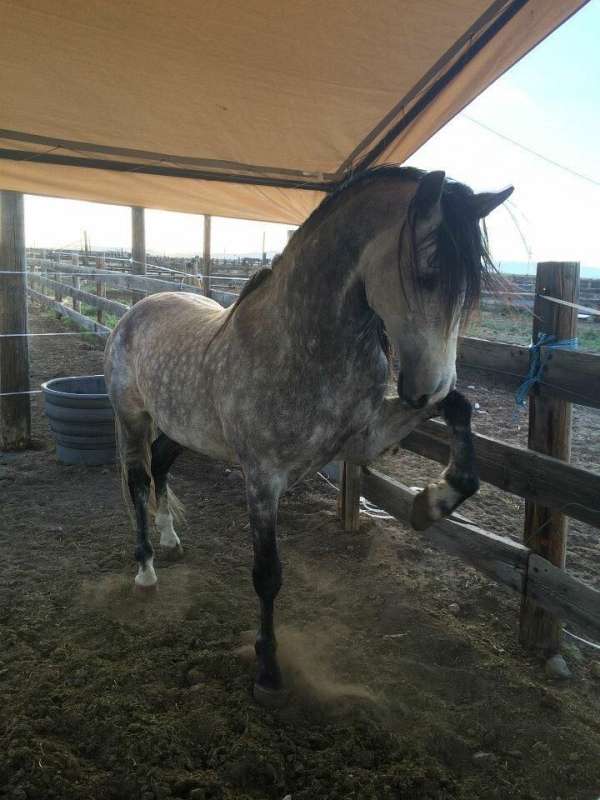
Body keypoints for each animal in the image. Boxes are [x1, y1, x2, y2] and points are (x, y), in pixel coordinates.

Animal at [105, 166, 512, 704]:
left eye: (470, 290)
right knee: (136, 480)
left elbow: (461, 410)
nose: (425, 387)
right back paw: (146, 569)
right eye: (427, 269)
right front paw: (267, 671)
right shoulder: (262, 480)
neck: (301, 346)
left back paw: (171, 539)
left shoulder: (364, 439)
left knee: (161, 467)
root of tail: (136, 310)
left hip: (183, 428)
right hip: (131, 418)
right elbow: (267, 574)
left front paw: (431, 503)